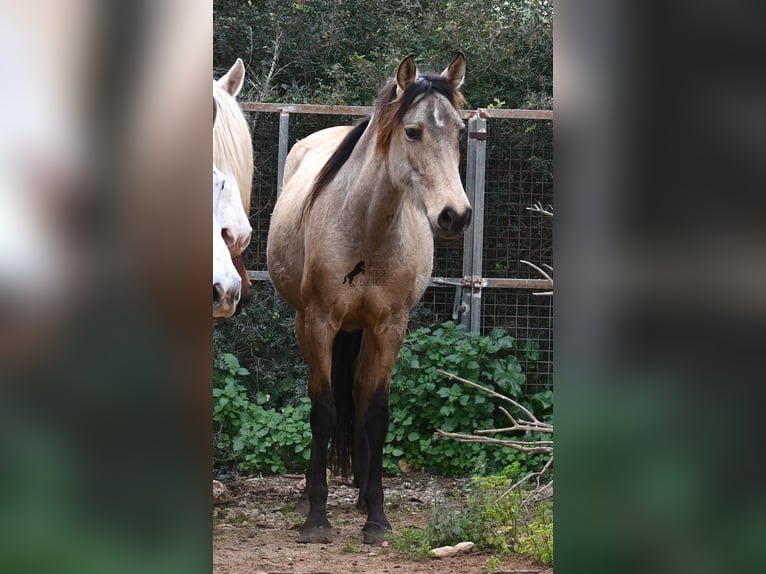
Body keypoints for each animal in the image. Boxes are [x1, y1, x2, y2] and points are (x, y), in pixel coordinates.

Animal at [267, 52, 471, 544]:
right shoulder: (318, 323)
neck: (366, 228)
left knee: (358, 397)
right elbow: (323, 410)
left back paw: (361, 493)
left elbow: (375, 412)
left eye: (460, 130)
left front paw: (376, 517)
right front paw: (316, 518)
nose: (455, 216)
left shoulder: (390, 326)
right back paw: (308, 495)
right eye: (412, 131)